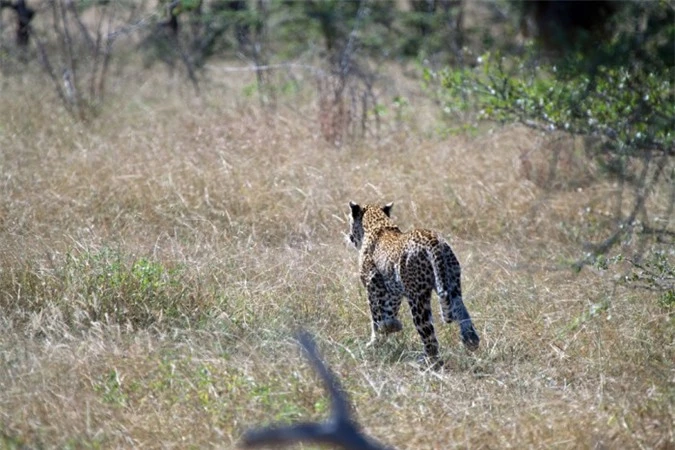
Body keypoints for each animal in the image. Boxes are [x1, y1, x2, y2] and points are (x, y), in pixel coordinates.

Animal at [348, 200, 480, 366]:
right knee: (461, 311)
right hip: (453, 284)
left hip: (417, 298)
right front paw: (390, 327)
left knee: (430, 339)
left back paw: (427, 363)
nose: (349, 236)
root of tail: (434, 241)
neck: (378, 223)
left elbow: (376, 316)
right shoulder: (393, 291)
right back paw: (471, 340)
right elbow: (389, 311)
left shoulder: (374, 284)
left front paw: (375, 341)